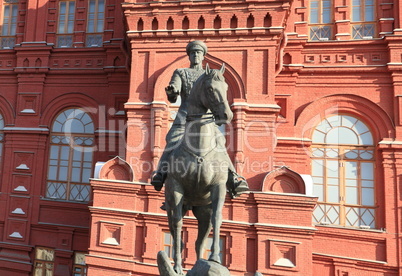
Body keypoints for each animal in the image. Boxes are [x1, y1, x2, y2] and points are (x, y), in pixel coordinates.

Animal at [164, 63, 232, 274]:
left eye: (226, 88)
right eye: (210, 89)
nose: (227, 115)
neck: (199, 146)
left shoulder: (219, 188)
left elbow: (218, 218)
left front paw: (215, 257)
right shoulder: (176, 189)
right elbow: (178, 224)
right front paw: (177, 265)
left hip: (203, 212)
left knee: (199, 241)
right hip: (171, 203)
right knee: (174, 227)